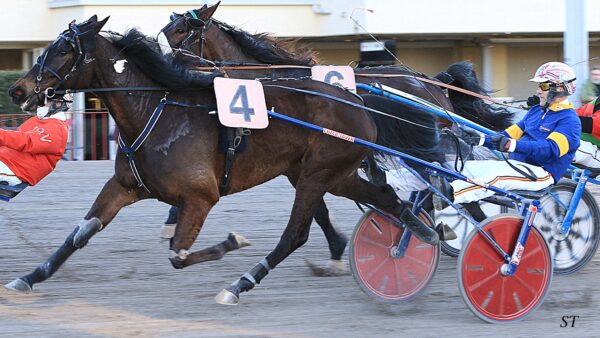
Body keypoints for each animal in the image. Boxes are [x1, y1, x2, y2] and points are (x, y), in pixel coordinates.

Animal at [7, 16, 440, 306]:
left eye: (64, 50)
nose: (18, 89)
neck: (155, 111)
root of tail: (357, 99)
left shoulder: (201, 197)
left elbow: (178, 255)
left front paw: (233, 241)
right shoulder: (124, 187)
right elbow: (78, 235)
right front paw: (28, 277)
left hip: (317, 174)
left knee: (294, 235)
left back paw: (239, 284)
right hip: (333, 173)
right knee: (385, 198)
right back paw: (421, 235)